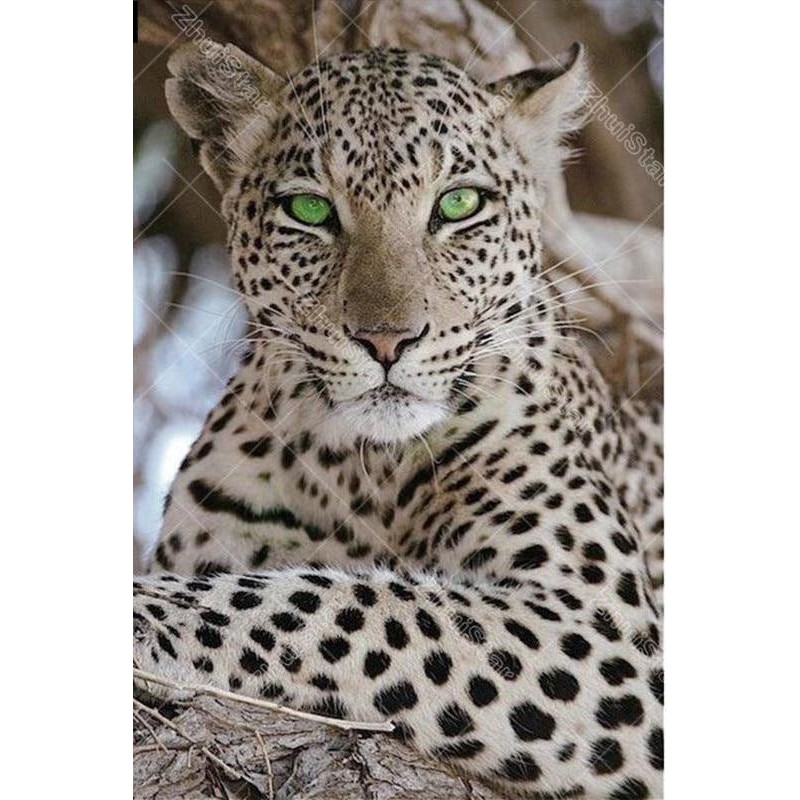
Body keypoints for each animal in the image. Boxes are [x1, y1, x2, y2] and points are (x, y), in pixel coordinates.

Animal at [134, 41, 664, 800]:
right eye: (309, 209)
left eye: (459, 203)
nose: (387, 340)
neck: (359, 467)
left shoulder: (603, 630)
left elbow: (341, 604)